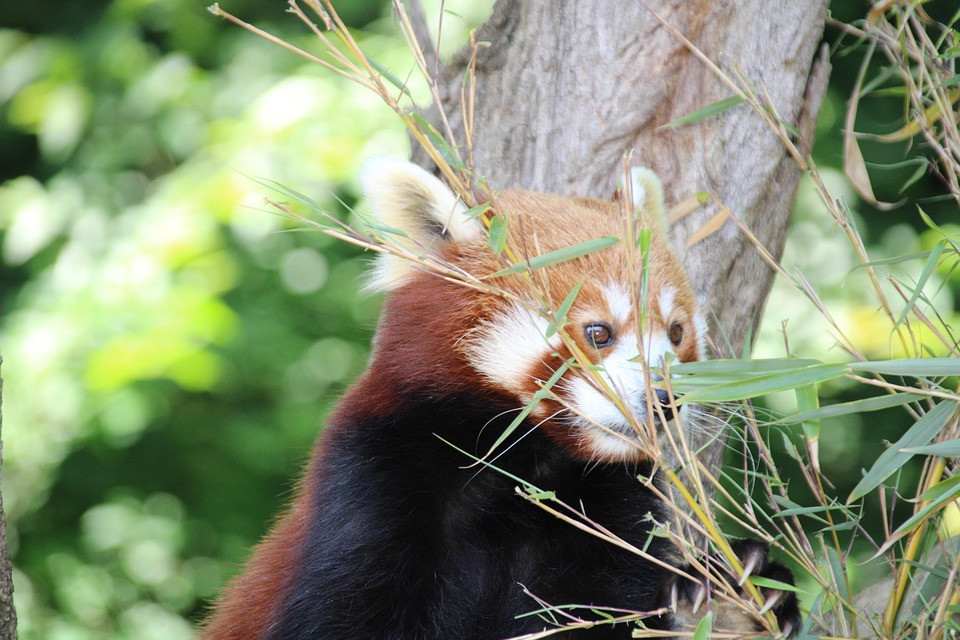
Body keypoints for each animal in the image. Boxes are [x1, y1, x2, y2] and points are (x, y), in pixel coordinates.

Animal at [201, 159, 800, 639]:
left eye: (675, 333)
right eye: (598, 333)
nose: (664, 400)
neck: (524, 466)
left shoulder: (604, 517)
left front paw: (726, 592)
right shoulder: (374, 481)